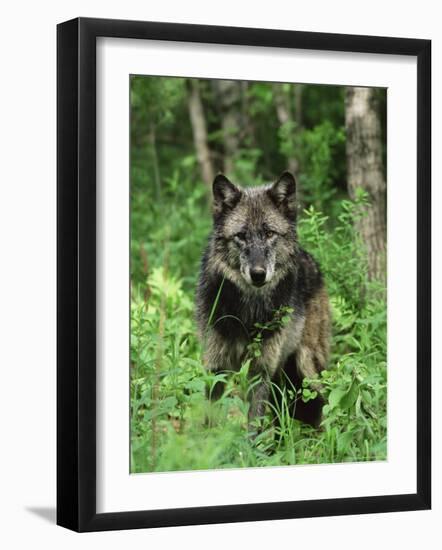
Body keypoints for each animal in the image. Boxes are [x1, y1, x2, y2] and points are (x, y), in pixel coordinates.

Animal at [195, 172, 330, 432]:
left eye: (269, 234)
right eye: (241, 236)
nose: (258, 274)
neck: (246, 312)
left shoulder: (260, 370)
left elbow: (253, 425)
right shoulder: (216, 365)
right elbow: (209, 417)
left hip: (306, 368)